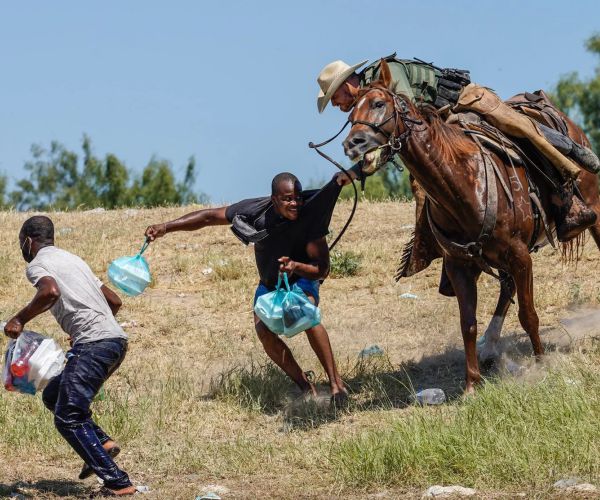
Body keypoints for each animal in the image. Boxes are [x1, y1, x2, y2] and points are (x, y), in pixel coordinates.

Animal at [342, 60, 600, 392]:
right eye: (350, 114)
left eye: (378, 103)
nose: (353, 143)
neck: (462, 182)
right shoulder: (460, 265)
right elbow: (468, 324)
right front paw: (471, 385)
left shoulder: (520, 255)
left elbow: (528, 314)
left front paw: (541, 364)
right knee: (505, 288)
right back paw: (490, 346)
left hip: (593, 209)